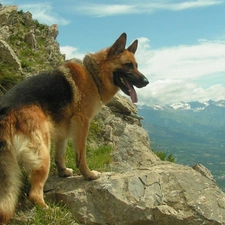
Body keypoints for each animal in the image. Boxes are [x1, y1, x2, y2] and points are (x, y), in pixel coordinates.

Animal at [0, 32, 149, 223]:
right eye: (128, 65)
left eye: (137, 66)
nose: (146, 81)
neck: (93, 75)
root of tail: (6, 110)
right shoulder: (82, 123)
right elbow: (81, 155)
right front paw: (88, 175)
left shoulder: (62, 131)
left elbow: (60, 154)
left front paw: (63, 171)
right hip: (42, 154)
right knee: (34, 193)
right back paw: (48, 210)